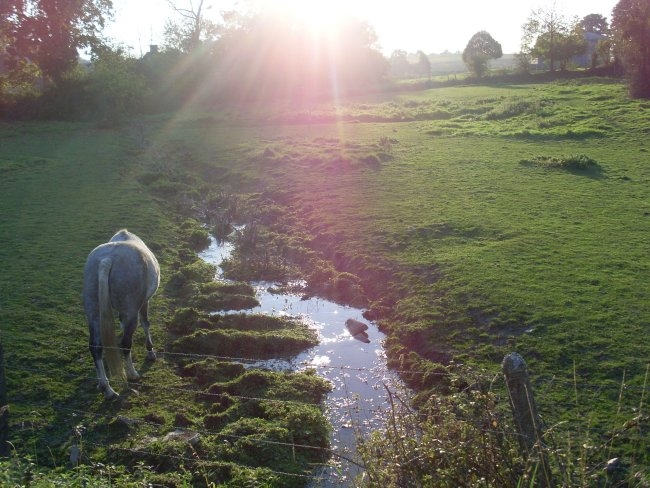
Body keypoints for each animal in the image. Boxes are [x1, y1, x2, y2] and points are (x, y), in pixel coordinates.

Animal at [83, 231, 160, 398]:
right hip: (131, 311)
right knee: (126, 344)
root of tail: (107, 259)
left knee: (95, 346)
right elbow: (146, 323)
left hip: (93, 312)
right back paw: (132, 374)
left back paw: (107, 389)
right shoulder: (143, 303)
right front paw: (150, 351)